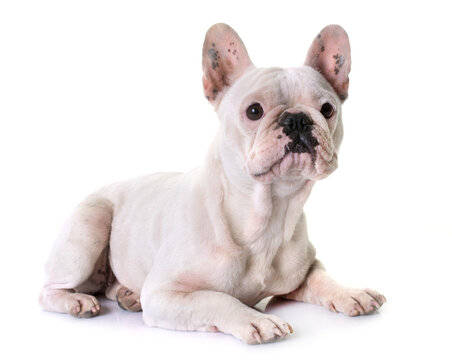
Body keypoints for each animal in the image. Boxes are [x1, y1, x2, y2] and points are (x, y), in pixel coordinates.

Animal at [39, 23, 384, 344]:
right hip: (91, 223)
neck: (267, 214)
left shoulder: (303, 271)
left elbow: (322, 278)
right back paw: (76, 302)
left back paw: (127, 294)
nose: (297, 119)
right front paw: (256, 319)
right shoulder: (163, 294)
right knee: (48, 291)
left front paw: (350, 293)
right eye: (254, 111)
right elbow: (216, 299)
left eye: (327, 109)